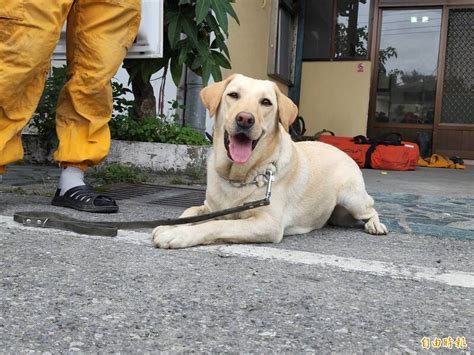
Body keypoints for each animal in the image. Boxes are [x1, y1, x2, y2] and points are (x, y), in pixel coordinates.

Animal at [154, 73, 386, 249]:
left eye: (266, 102)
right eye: (233, 95)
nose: (245, 119)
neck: (239, 175)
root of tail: (341, 150)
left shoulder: (268, 223)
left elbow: (216, 225)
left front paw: (178, 234)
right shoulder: (209, 206)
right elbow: (189, 213)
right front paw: (171, 226)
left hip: (353, 198)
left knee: (371, 209)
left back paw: (375, 225)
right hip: (339, 214)